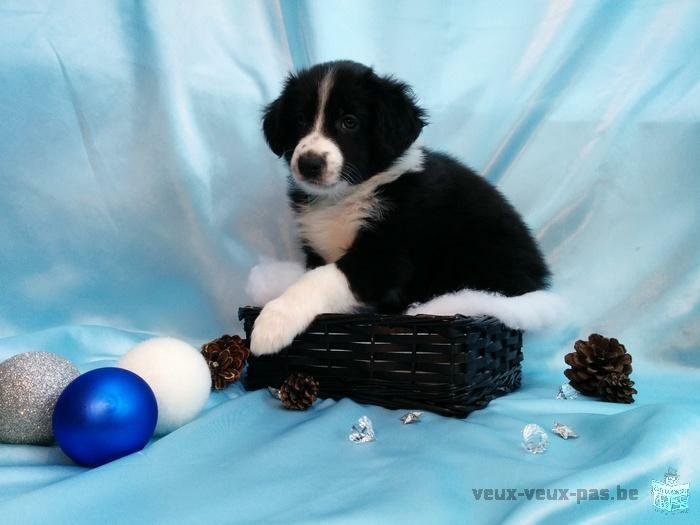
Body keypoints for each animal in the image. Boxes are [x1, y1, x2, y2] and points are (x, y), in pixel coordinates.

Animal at [252, 60, 552, 356]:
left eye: (349, 122)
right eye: (300, 120)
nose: (309, 163)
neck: (344, 196)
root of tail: (539, 280)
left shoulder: (386, 253)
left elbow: (320, 279)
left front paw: (273, 321)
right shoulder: (317, 249)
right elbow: (313, 273)